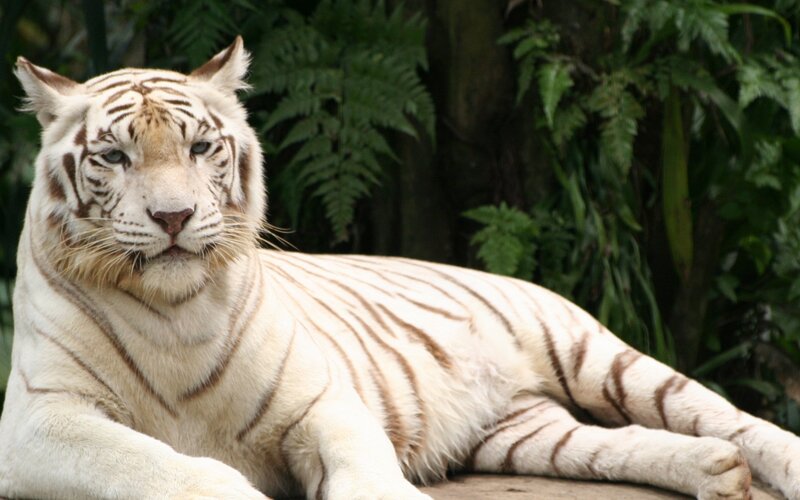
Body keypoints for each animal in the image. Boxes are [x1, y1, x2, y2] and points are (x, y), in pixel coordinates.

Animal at [0, 36, 799, 500]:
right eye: (113, 156)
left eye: (199, 148)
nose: (173, 217)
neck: (176, 310)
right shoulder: (40, 422)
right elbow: (167, 466)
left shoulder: (323, 400)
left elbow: (363, 467)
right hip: (520, 431)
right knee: (611, 445)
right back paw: (715, 471)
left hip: (591, 352)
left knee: (728, 415)